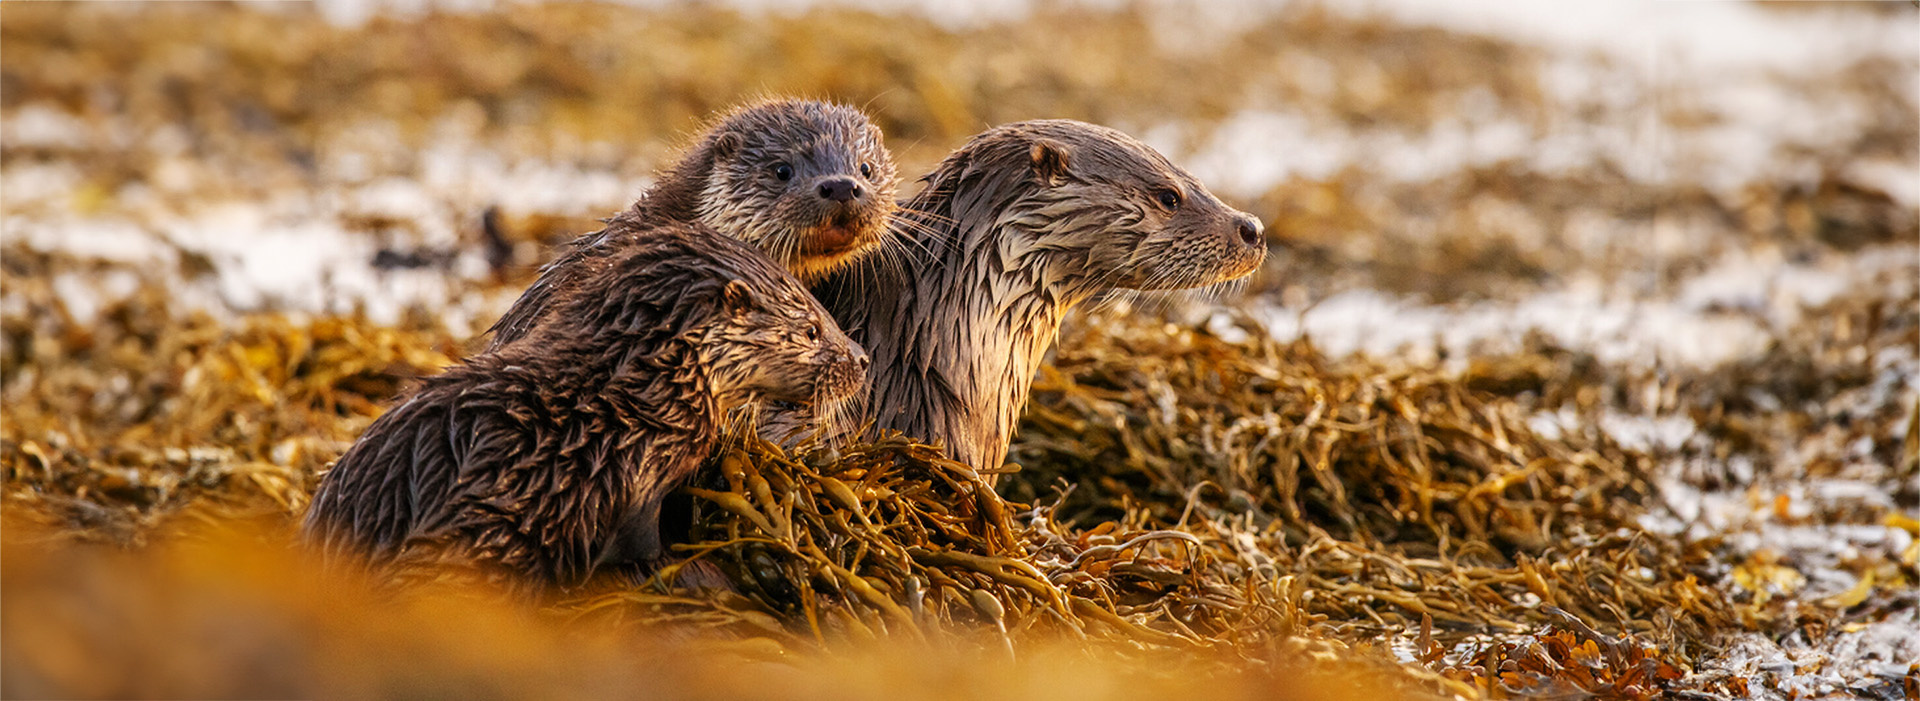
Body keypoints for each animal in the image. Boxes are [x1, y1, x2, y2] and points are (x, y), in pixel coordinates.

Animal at [309, 223, 871, 591]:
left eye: (824, 311)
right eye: (811, 329)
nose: (863, 359)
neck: (638, 394)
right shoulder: (636, 477)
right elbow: (642, 545)